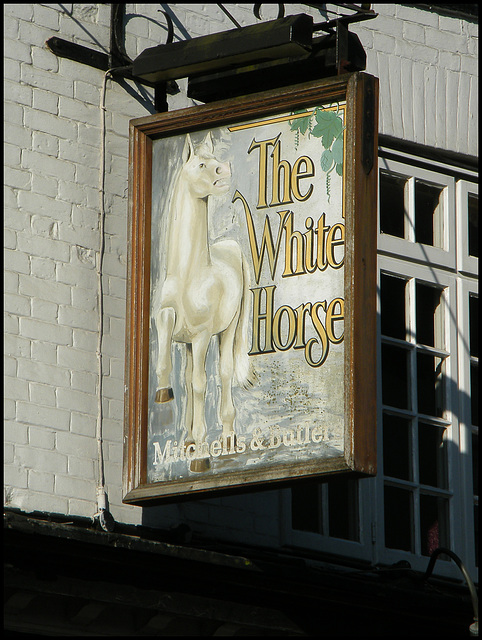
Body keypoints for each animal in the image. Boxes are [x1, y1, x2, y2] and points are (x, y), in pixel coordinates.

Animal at [153, 131, 252, 470]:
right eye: (200, 164)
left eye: (215, 160)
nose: (225, 170)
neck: (190, 274)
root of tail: (233, 248)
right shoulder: (173, 324)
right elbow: (170, 360)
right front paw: (163, 391)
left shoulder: (202, 336)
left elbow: (200, 383)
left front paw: (202, 456)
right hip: (189, 343)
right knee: (188, 376)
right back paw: (189, 441)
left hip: (228, 329)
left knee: (223, 372)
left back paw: (227, 437)